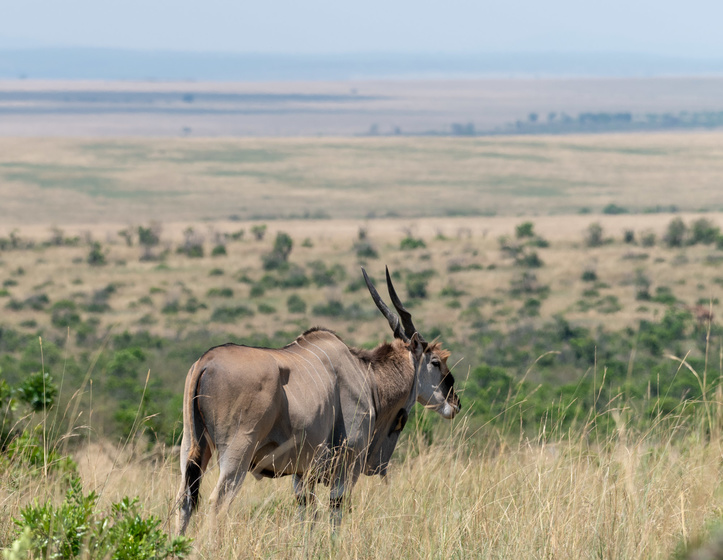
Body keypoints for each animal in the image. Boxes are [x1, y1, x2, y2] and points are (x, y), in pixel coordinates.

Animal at [175, 266, 458, 532]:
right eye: (435, 362)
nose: (455, 402)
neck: (366, 375)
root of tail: (206, 362)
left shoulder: (303, 475)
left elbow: (307, 519)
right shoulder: (346, 467)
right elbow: (334, 515)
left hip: (192, 448)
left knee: (184, 502)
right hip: (236, 454)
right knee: (217, 503)